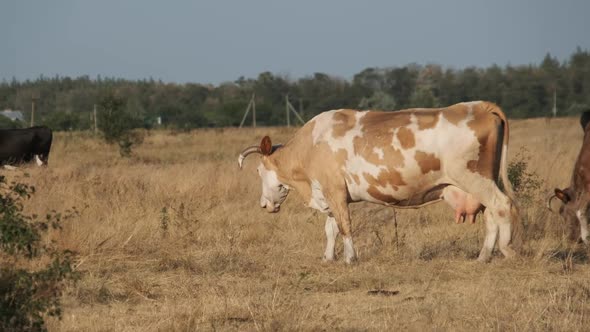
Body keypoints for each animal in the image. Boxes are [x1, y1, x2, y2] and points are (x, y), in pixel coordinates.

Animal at [239, 100, 520, 262]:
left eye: (258, 171)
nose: (264, 204)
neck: (311, 145)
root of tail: (479, 106)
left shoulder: (335, 190)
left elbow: (344, 226)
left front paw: (351, 258)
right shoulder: (328, 193)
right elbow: (330, 228)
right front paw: (328, 258)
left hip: (474, 178)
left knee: (501, 206)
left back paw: (504, 250)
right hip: (483, 180)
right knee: (491, 213)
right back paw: (484, 256)